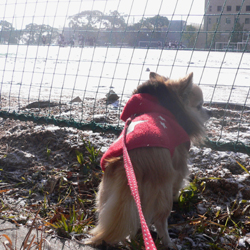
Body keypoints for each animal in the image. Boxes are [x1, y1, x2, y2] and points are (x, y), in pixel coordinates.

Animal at [87, 72, 210, 248]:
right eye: (199, 106)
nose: (210, 113)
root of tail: (131, 164)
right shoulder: (179, 164)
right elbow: (179, 182)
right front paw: (177, 196)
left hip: (106, 195)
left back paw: (128, 240)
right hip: (162, 194)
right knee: (159, 221)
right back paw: (168, 243)